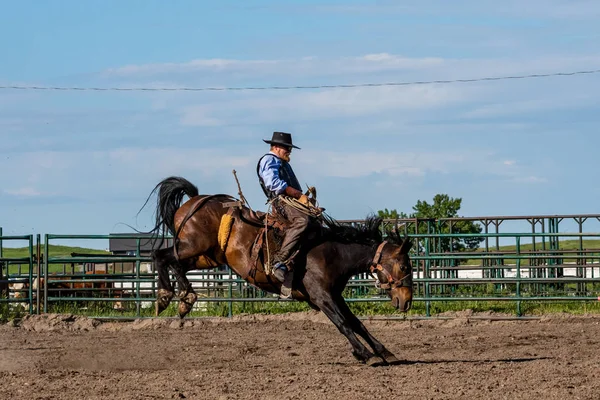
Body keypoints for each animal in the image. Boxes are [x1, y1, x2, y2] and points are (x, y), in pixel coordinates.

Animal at [142, 177, 412, 368]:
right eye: (404, 266)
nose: (407, 301)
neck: (332, 251)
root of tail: (196, 199)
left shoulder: (335, 295)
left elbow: (356, 322)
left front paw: (384, 351)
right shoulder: (321, 297)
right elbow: (343, 323)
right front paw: (365, 354)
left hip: (206, 256)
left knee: (177, 265)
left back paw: (185, 300)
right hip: (192, 246)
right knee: (160, 256)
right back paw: (166, 296)